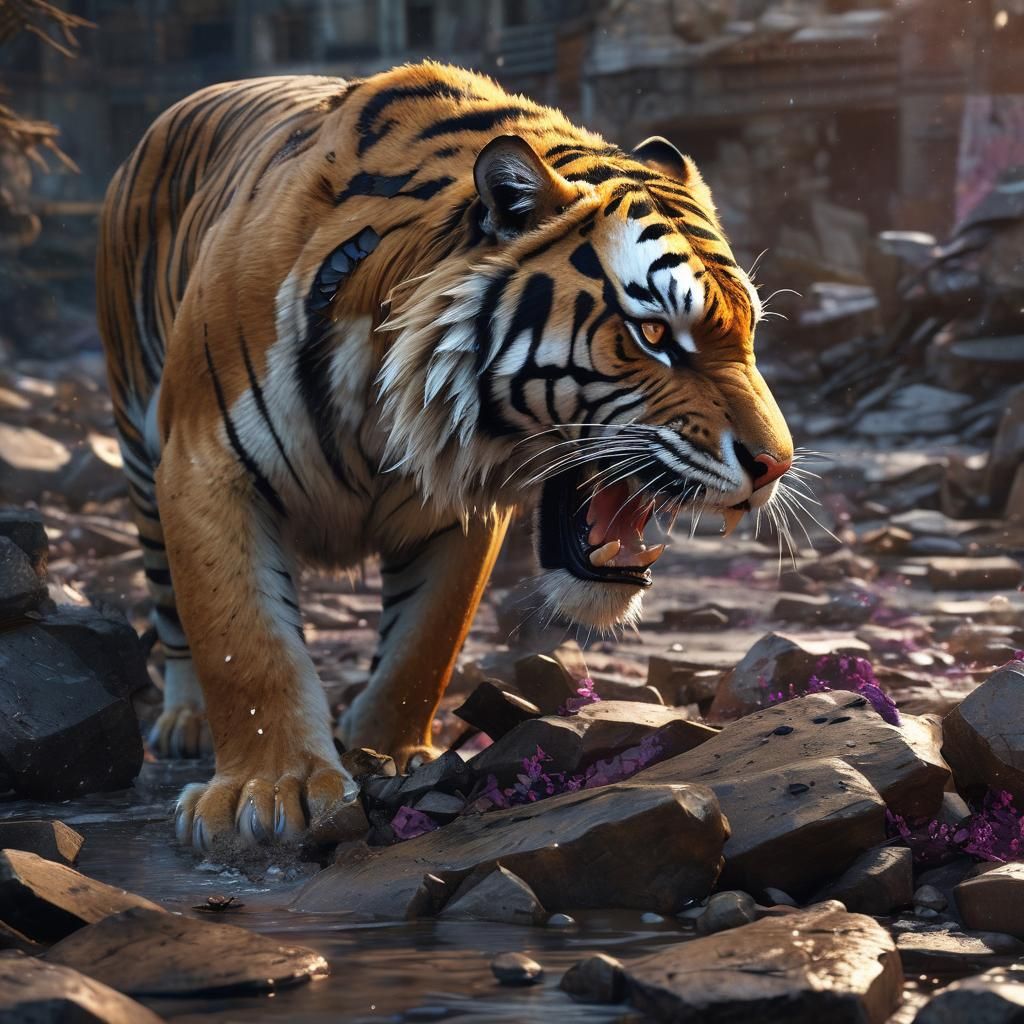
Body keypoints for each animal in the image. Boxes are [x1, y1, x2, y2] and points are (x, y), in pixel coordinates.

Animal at [97, 61, 793, 851]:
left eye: (750, 332)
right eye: (652, 333)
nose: (777, 465)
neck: (389, 392)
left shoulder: (458, 508)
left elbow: (420, 648)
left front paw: (388, 754)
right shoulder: (207, 467)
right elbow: (244, 643)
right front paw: (270, 793)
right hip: (139, 449)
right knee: (171, 608)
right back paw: (184, 719)